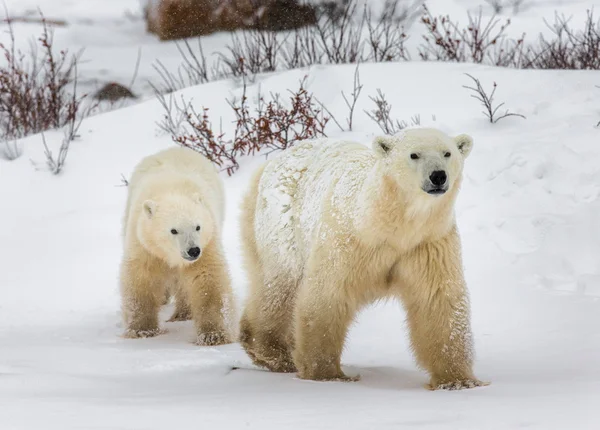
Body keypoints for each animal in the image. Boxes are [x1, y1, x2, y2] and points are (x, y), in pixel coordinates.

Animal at [119, 147, 234, 346]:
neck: (172, 191)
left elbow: (208, 279)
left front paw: (213, 335)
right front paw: (142, 330)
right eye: (173, 230)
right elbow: (141, 278)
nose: (193, 250)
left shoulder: (208, 242)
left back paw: (182, 313)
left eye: (198, 226)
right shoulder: (143, 243)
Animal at [238, 127, 488, 390]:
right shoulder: (350, 240)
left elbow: (437, 299)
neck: (391, 225)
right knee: (279, 285)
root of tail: (269, 164)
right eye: (414, 154)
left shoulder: (427, 244)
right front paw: (326, 373)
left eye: (447, 153)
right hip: (282, 224)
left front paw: (457, 380)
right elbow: (328, 294)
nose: (438, 176)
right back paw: (274, 352)